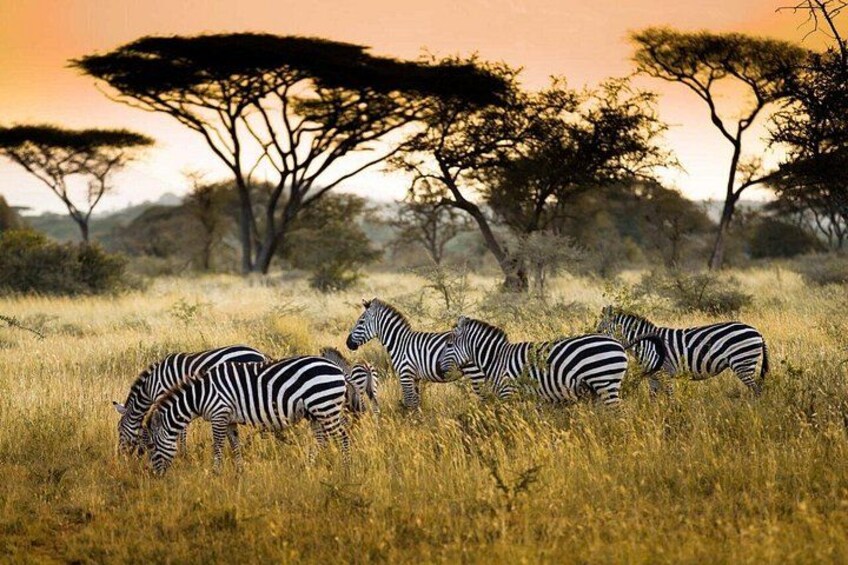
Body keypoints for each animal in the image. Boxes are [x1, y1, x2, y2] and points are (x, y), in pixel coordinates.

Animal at [112, 345, 268, 455]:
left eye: (119, 429)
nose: (120, 454)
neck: (151, 385)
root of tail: (261, 354)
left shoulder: (165, 396)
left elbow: (179, 430)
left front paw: (182, 453)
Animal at [141, 356, 351, 475]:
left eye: (152, 446)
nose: (155, 476)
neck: (200, 395)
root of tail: (337, 368)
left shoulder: (219, 413)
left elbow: (217, 445)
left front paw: (215, 472)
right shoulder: (229, 419)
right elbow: (234, 444)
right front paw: (240, 471)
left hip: (325, 406)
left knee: (343, 437)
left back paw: (346, 470)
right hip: (315, 412)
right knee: (321, 440)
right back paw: (307, 466)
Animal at [346, 298, 484, 409]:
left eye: (361, 322)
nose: (347, 343)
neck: (400, 343)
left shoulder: (405, 374)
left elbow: (409, 402)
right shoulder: (415, 378)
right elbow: (416, 401)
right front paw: (419, 421)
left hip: (476, 373)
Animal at [436, 316, 668, 406]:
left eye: (448, 344)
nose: (439, 369)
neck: (496, 358)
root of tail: (619, 344)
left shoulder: (508, 393)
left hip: (605, 381)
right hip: (601, 386)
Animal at [596, 306, 769, 395]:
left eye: (599, 330)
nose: (597, 341)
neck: (645, 343)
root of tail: (757, 331)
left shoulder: (665, 373)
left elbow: (670, 397)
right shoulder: (653, 377)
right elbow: (653, 399)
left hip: (742, 363)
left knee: (757, 390)